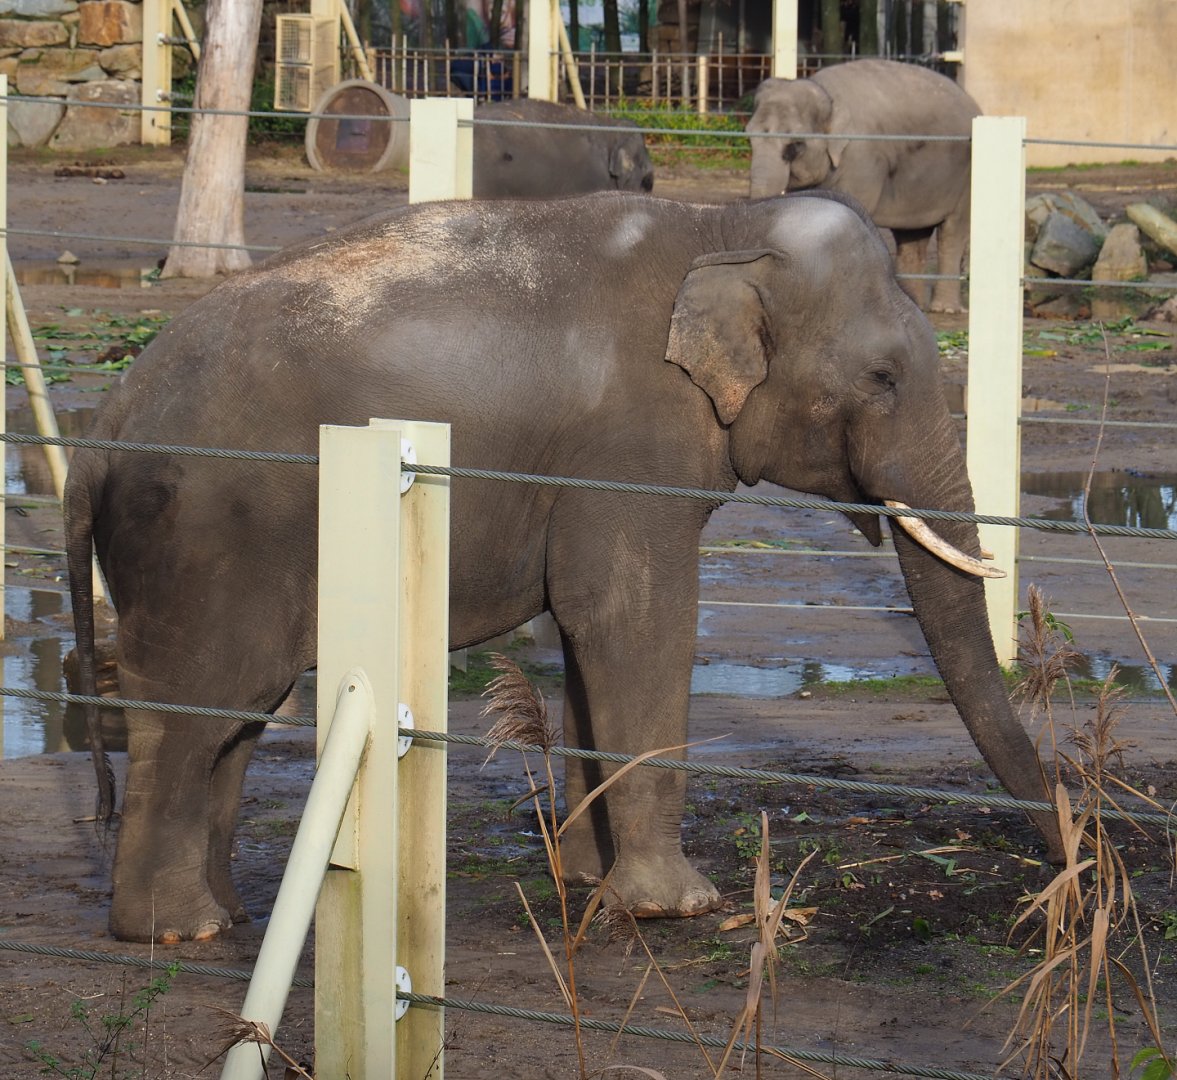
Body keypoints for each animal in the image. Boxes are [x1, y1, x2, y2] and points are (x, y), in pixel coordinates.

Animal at [65, 188, 1061, 943]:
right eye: (884, 378)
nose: (1066, 864)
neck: (720, 223)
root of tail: (101, 429)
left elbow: (591, 633)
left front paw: (584, 881)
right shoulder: (628, 450)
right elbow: (630, 615)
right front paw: (673, 907)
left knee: (236, 717)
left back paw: (231, 915)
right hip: (204, 537)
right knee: (190, 713)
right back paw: (176, 930)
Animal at [745, 59, 981, 312]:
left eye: (795, 146)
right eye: (749, 138)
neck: (827, 94)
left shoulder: (862, 159)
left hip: (965, 176)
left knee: (953, 232)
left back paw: (944, 308)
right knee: (912, 238)